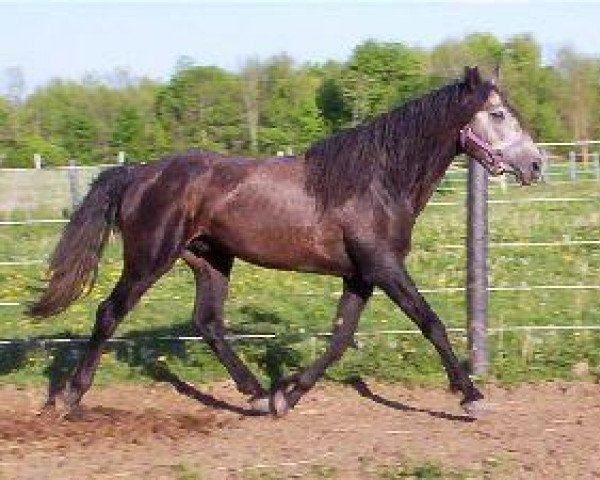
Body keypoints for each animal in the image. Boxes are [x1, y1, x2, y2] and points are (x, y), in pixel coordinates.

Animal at [30, 66, 540, 416]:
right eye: (497, 114)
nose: (535, 165)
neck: (376, 181)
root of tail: (138, 174)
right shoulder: (385, 268)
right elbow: (430, 323)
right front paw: (471, 395)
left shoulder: (361, 276)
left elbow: (340, 338)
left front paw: (288, 394)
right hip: (148, 260)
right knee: (109, 313)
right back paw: (70, 396)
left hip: (211, 261)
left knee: (208, 323)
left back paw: (257, 394)